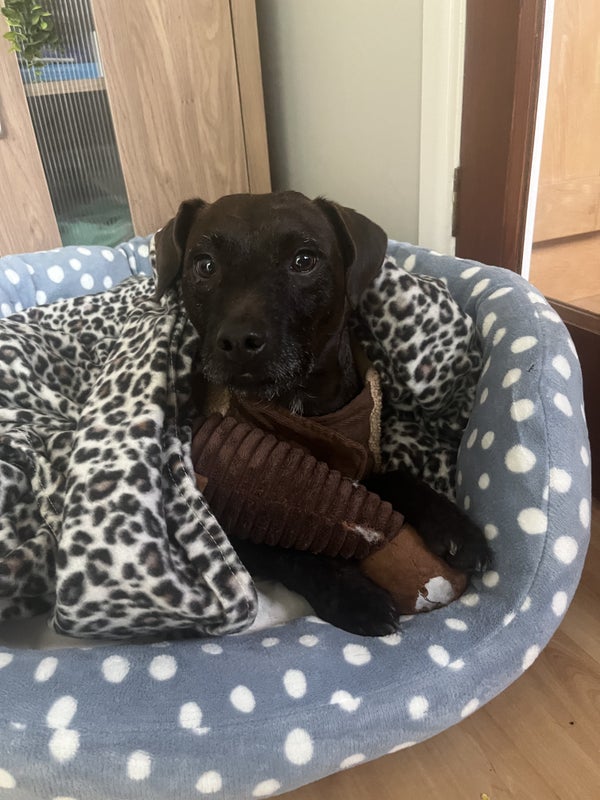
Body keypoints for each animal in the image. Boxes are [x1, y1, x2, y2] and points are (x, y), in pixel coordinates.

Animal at [154, 191, 491, 635]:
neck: (298, 407)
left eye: (304, 260)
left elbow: (394, 477)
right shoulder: (226, 525)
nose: (239, 341)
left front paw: (455, 526)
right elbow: (293, 550)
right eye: (204, 264)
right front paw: (354, 595)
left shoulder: (356, 457)